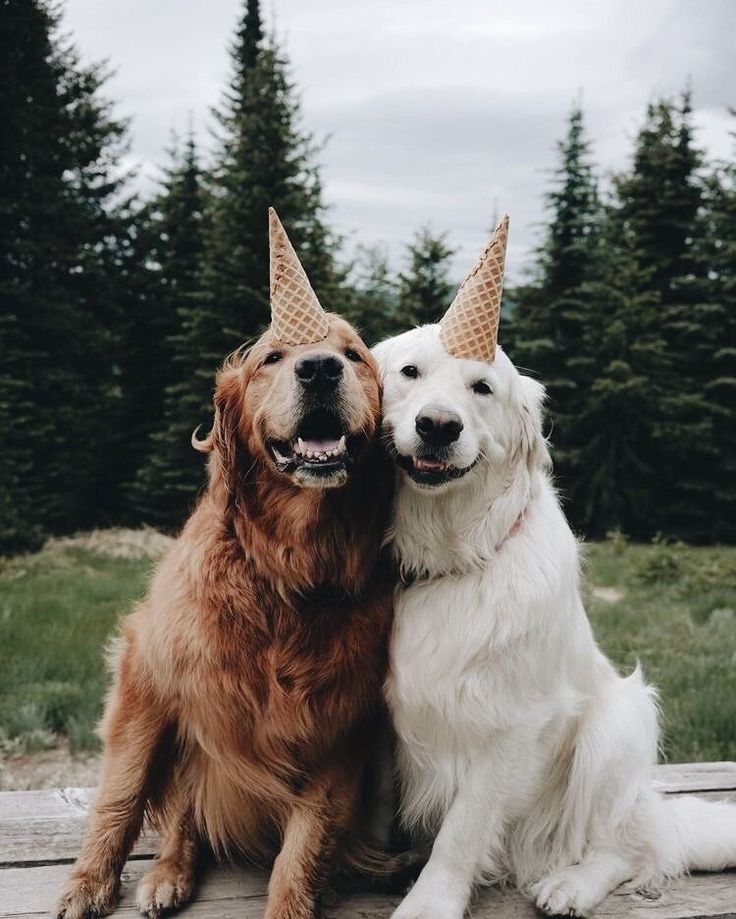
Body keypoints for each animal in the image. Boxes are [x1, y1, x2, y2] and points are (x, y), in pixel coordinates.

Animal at [56, 210, 396, 919]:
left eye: (354, 355)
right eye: (272, 358)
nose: (320, 370)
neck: (291, 570)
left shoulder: (338, 728)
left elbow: (303, 847)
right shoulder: (148, 677)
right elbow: (120, 795)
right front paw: (89, 881)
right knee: (183, 809)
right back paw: (167, 872)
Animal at [374, 322, 736, 912]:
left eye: (482, 388)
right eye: (410, 372)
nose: (438, 425)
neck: (451, 555)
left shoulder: (510, 723)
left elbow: (462, 831)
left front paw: (430, 904)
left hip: (618, 727)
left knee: (625, 848)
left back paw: (571, 884)